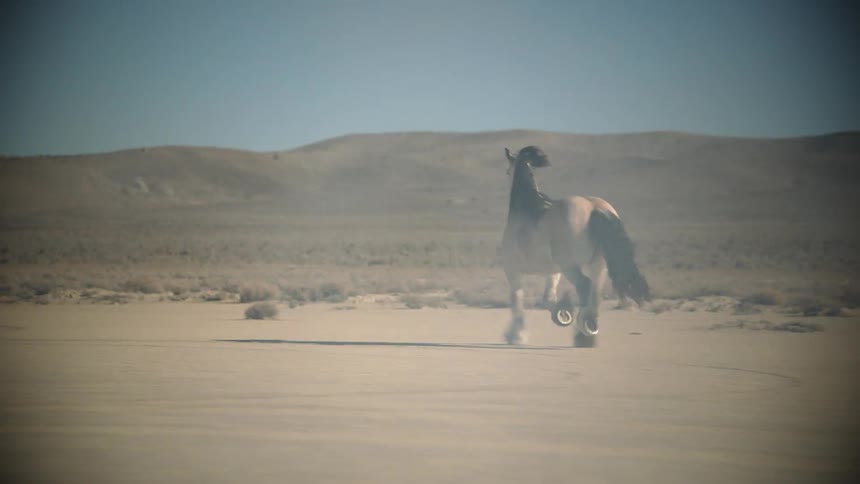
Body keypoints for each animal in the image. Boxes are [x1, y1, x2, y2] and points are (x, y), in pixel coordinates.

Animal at [500, 146, 650, 346]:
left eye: (508, 170)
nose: (507, 174)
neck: (527, 208)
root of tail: (596, 208)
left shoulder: (512, 270)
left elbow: (517, 300)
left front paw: (516, 335)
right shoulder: (553, 272)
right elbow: (548, 299)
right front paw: (563, 314)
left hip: (571, 266)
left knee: (585, 286)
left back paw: (584, 328)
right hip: (598, 265)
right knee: (595, 293)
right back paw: (587, 332)